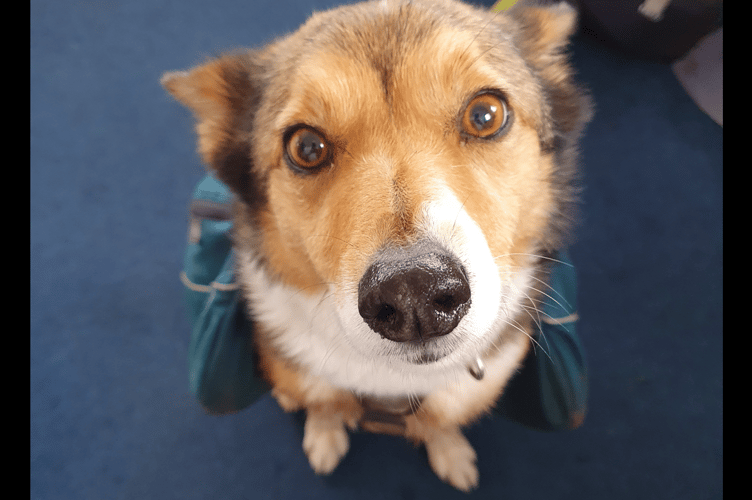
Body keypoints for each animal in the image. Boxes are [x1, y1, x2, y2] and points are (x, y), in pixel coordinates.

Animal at [162, 0, 592, 492]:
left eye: (486, 115)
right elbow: (324, 405)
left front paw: (450, 451)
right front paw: (324, 435)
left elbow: (441, 424)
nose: (413, 293)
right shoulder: (311, 376)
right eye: (306, 147)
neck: (393, 383)